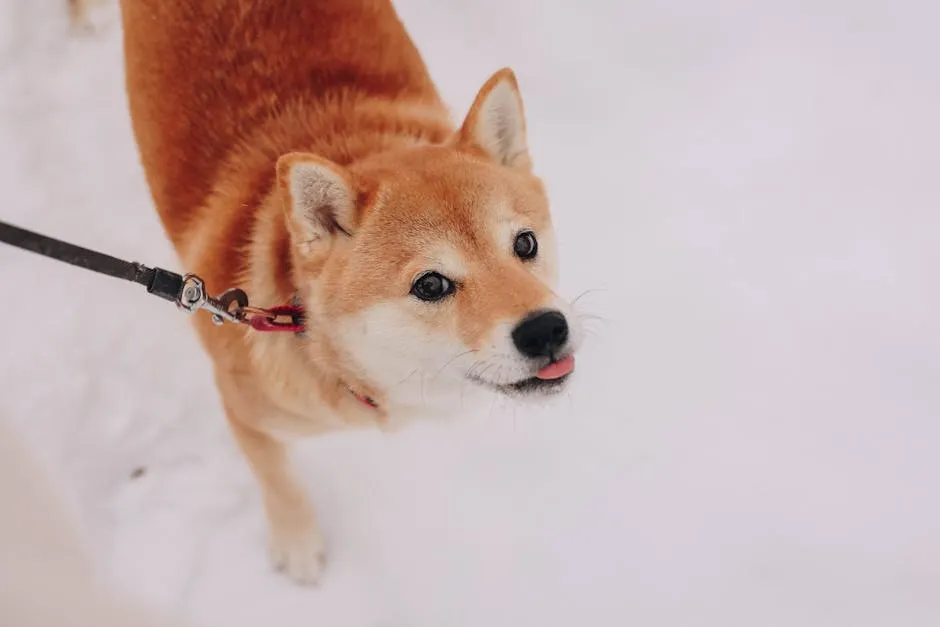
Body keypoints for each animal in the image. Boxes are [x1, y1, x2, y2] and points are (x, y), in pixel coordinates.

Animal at [119, 0, 580, 588]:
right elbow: (279, 482)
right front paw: (297, 545)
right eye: (431, 284)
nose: (546, 330)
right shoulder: (245, 415)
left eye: (525, 243)